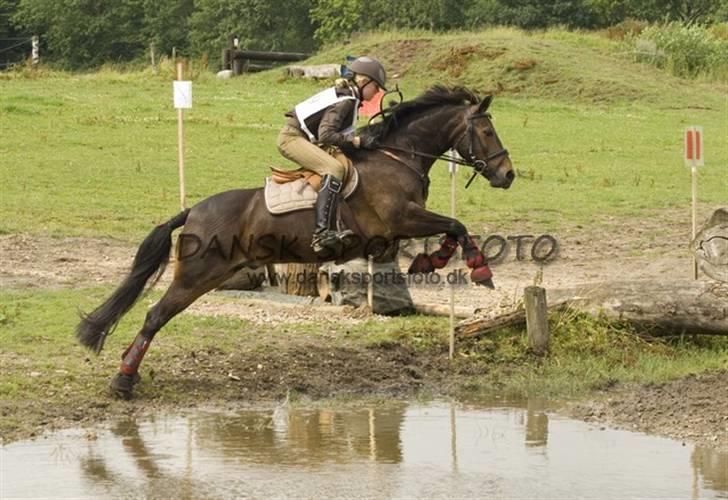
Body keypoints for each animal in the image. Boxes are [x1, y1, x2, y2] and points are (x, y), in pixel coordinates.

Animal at [77, 86, 516, 398]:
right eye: (487, 130)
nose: (508, 174)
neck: (397, 156)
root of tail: (193, 211)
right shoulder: (400, 220)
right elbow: (457, 224)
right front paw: (479, 269)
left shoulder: (402, 225)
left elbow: (452, 229)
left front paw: (433, 262)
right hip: (197, 274)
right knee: (155, 315)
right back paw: (122, 382)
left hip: (212, 275)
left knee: (157, 315)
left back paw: (127, 374)